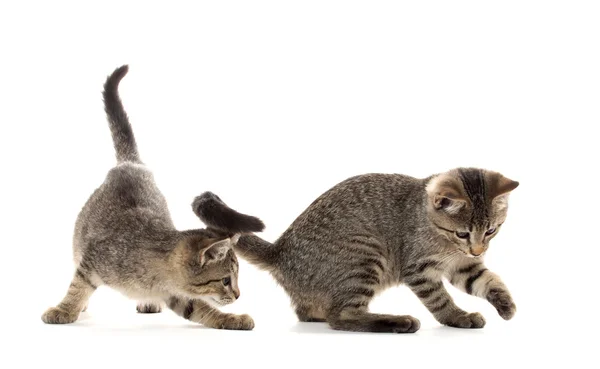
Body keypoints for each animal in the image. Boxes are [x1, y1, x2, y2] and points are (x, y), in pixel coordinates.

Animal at [41, 64, 264, 330]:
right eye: (226, 281)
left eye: (234, 279)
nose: (238, 295)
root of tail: (131, 163)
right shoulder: (91, 261)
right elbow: (77, 287)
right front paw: (64, 310)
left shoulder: (178, 294)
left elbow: (203, 310)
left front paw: (232, 318)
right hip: (79, 241)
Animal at [195, 168, 516, 332]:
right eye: (462, 232)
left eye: (491, 230)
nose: (478, 249)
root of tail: (281, 250)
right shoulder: (420, 269)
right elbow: (439, 299)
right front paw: (457, 316)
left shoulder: (463, 265)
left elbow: (487, 279)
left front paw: (505, 304)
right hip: (365, 254)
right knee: (342, 317)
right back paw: (398, 321)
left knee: (310, 313)